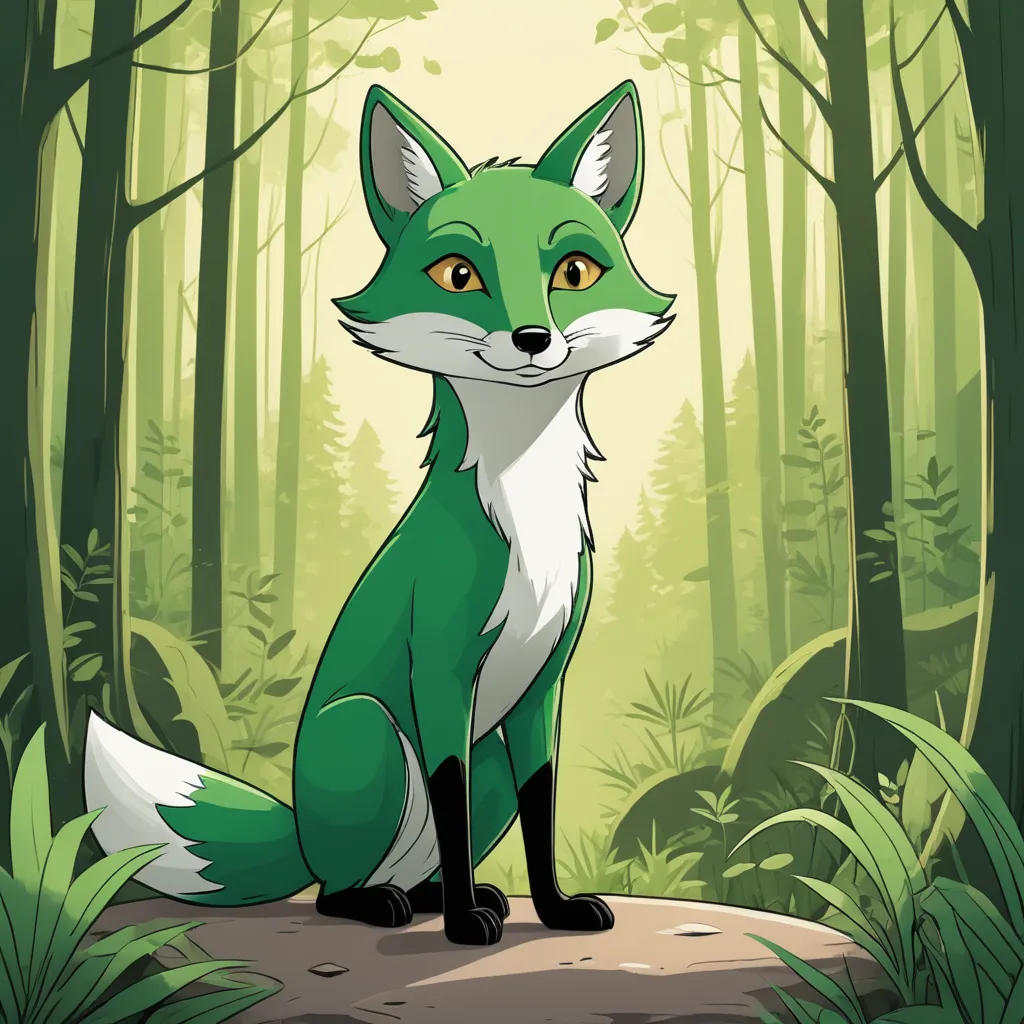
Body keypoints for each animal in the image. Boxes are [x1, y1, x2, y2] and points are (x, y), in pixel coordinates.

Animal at [84, 80, 674, 946]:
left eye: (573, 270)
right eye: (460, 274)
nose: (534, 338)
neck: (525, 517)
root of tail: (299, 830)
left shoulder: (541, 688)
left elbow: (540, 809)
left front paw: (555, 908)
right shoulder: (440, 670)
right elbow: (450, 797)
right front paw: (463, 927)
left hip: (480, 762)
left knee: (417, 859)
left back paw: (441, 897)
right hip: (371, 733)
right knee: (338, 888)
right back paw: (397, 906)